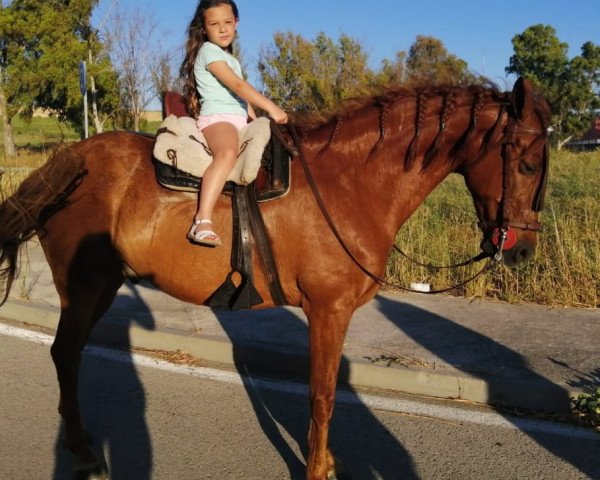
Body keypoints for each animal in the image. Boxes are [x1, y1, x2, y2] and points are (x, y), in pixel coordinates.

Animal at [0, 78, 552, 476]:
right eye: (527, 165)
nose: (523, 250)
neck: (351, 185)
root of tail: (70, 157)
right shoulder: (328, 311)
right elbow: (322, 396)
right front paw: (317, 469)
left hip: (104, 286)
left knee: (69, 353)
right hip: (85, 287)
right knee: (65, 353)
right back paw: (82, 449)